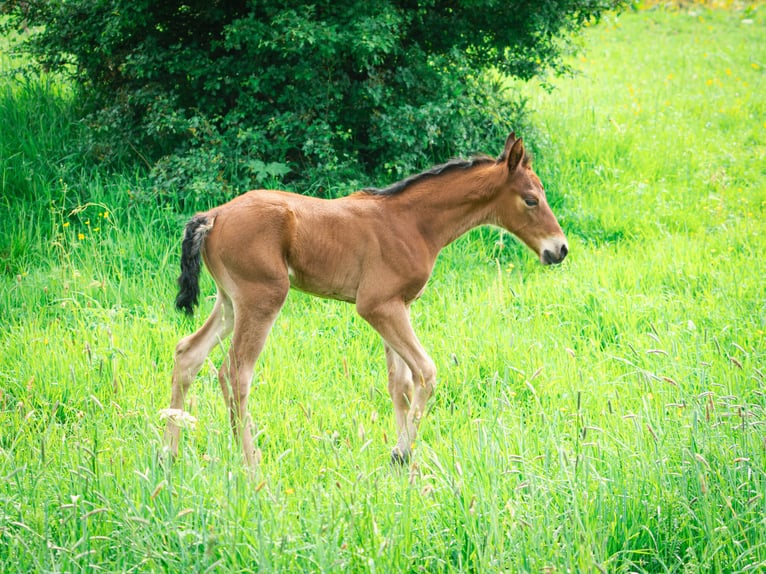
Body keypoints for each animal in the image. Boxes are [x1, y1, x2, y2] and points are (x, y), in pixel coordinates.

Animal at [164, 132, 568, 467]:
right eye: (531, 199)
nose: (560, 249)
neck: (413, 223)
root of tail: (213, 216)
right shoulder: (377, 306)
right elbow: (427, 372)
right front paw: (401, 453)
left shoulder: (398, 306)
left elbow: (401, 385)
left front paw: (404, 463)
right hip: (262, 299)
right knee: (235, 374)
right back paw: (250, 464)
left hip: (230, 302)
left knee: (188, 354)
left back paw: (169, 454)